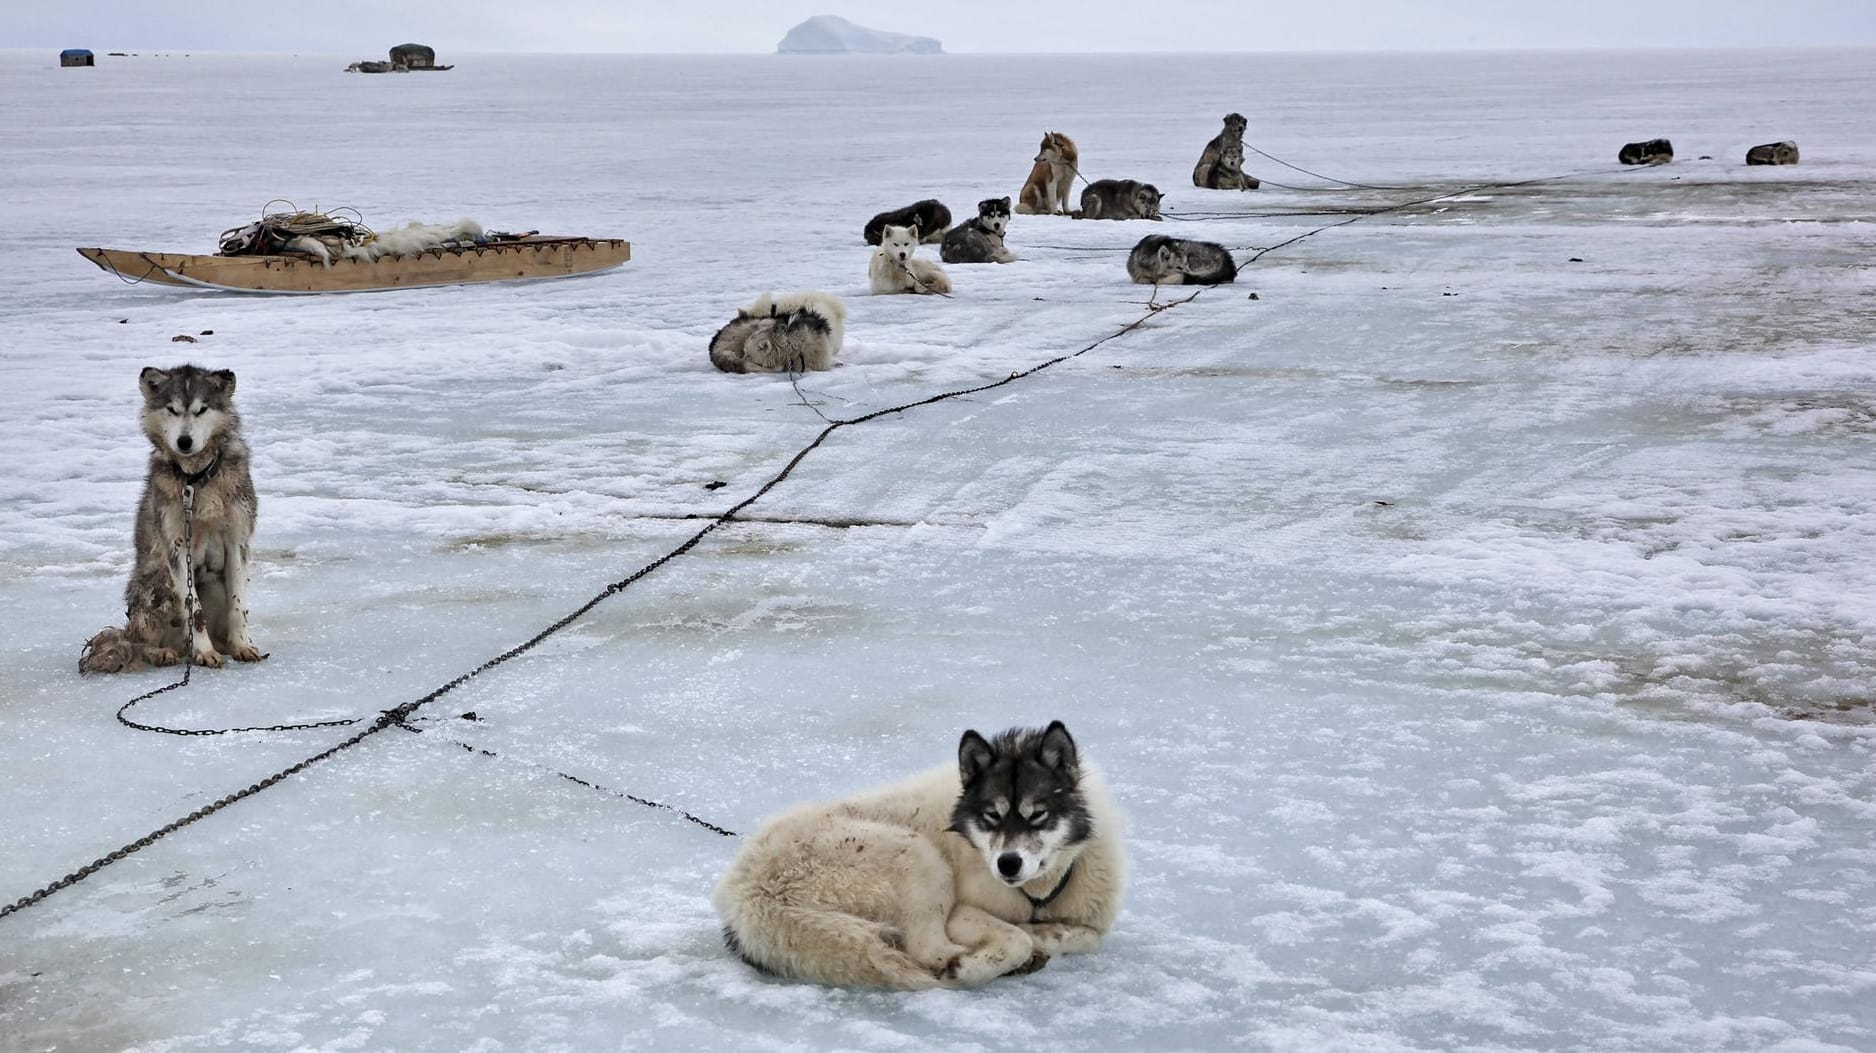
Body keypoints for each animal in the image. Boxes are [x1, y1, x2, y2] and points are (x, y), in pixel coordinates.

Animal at [79, 366, 264, 668]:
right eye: (172, 410)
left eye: (201, 409)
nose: (184, 441)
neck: (195, 478)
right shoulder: (177, 546)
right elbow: (194, 610)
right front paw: (204, 652)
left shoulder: (238, 540)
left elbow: (239, 606)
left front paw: (242, 646)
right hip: (157, 584)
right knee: (137, 642)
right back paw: (163, 652)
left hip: (212, 584)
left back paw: (220, 645)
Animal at [712, 717, 1125, 991]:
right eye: (991, 816)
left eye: (1037, 814)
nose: (1007, 864)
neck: (1038, 893)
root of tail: (751, 897)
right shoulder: (962, 910)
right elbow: (1016, 938)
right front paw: (1010, 947)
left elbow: (1087, 936)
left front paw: (1047, 934)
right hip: (918, 857)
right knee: (927, 948)